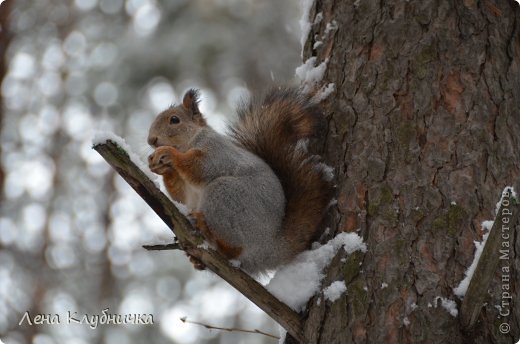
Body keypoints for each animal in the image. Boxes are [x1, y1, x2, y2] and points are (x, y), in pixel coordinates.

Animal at [147, 86, 334, 274]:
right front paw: (160, 168)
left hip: (227, 196)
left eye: (174, 120)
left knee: (232, 250)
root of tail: (268, 248)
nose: (151, 140)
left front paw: (169, 153)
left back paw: (206, 229)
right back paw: (197, 259)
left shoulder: (216, 151)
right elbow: (180, 196)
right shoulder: (185, 188)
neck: (189, 142)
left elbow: (202, 167)